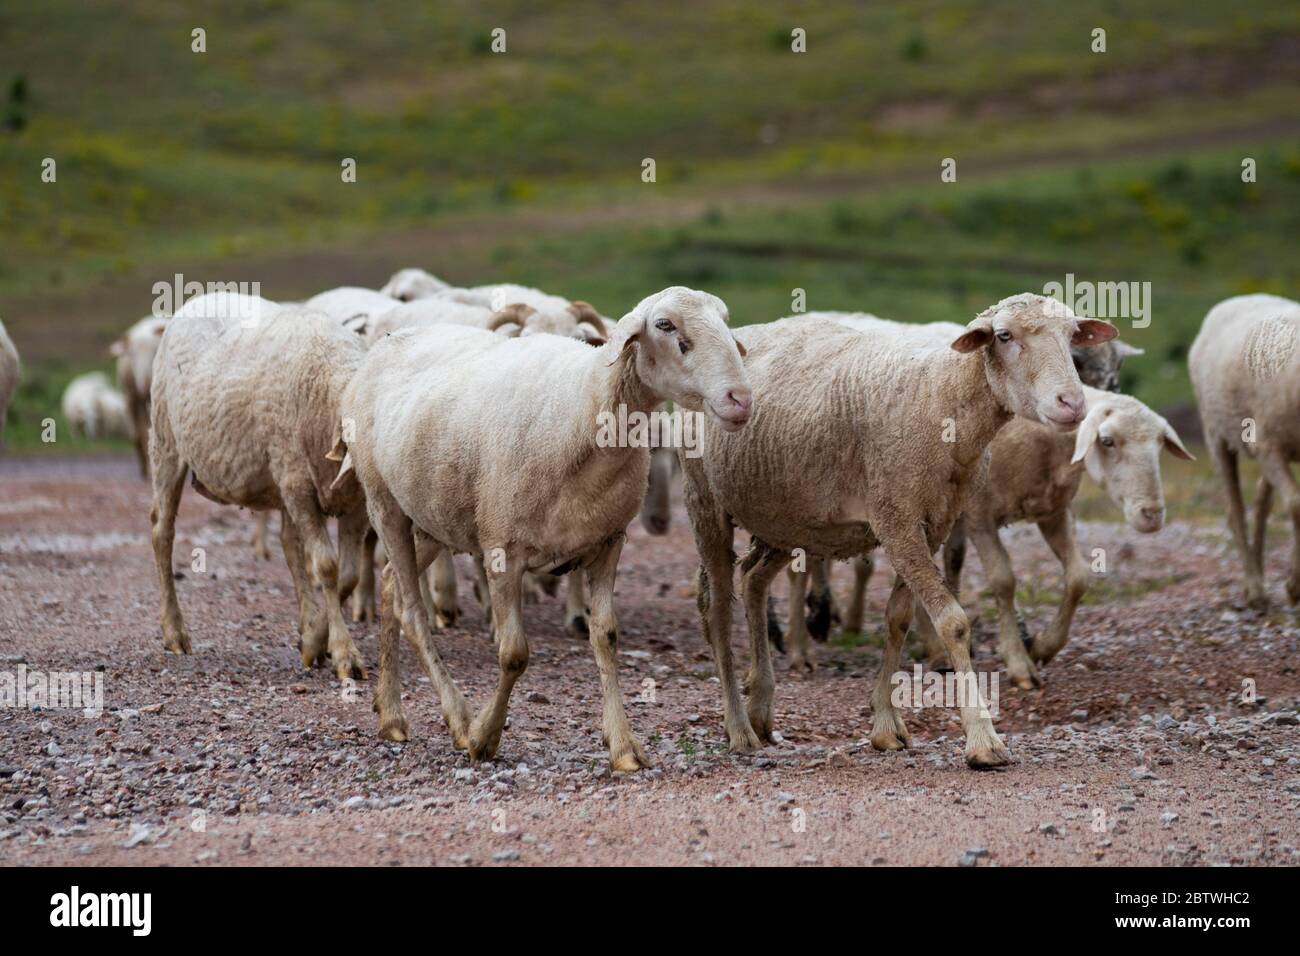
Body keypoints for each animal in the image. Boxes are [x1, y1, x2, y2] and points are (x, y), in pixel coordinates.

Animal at [110, 316, 168, 476]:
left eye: (154, 352)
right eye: (132, 356)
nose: (145, 384)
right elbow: (137, 434)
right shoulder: (131, 398)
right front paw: (146, 469)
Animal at [149, 292, 368, 679]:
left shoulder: (353, 501)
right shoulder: (298, 484)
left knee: (289, 544)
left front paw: (316, 640)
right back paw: (174, 632)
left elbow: (348, 576)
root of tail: (198, 298)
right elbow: (326, 566)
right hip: (167, 444)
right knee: (163, 533)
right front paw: (343, 652)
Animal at [337, 286, 752, 770]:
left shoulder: (608, 542)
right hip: (383, 501)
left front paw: (623, 745)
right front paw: (485, 737)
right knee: (413, 613)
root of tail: (386, 343)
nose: (741, 399)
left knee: (390, 586)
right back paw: (452, 718)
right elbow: (514, 654)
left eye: (725, 318)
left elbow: (606, 637)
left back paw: (390, 712)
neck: (585, 405)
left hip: (431, 518)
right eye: (664, 325)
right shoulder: (502, 549)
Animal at [680, 293, 1114, 768]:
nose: (1072, 403)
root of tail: (742, 334)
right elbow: (952, 622)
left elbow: (898, 618)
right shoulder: (896, 518)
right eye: (1004, 336)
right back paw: (739, 727)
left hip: (783, 517)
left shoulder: (932, 523)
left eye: (1072, 336)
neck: (940, 396)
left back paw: (760, 705)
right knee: (718, 607)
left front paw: (886, 725)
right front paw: (983, 738)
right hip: (706, 499)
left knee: (754, 581)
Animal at [1190, 293, 1300, 606]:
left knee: (1261, 506)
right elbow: (1296, 506)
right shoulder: (1267, 445)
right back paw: (1254, 587)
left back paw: (1260, 579)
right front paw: (1293, 587)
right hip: (1217, 435)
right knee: (1235, 510)